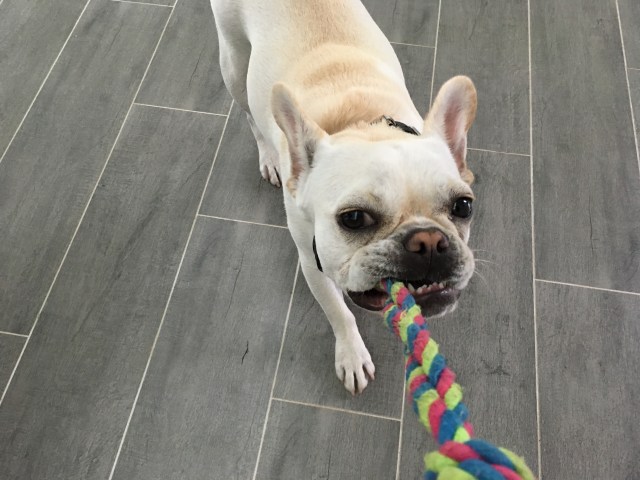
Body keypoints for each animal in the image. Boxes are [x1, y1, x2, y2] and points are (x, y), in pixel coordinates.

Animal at [209, 0, 477, 395]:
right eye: (353, 218)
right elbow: (339, 313)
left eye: (463, 206)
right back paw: (268, 157)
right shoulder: (314, 263)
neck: (361, 125)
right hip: (234, 65)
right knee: (249, 115)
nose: (428, 240)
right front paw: (351, 355)